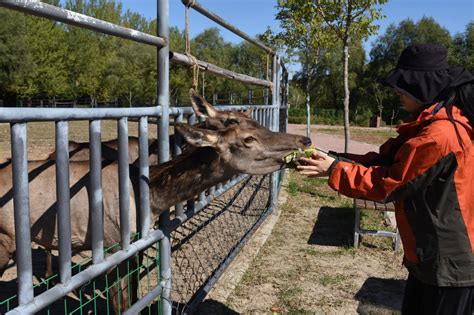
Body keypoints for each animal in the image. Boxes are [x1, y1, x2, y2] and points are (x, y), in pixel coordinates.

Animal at [0, 89, 312, 314]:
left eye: (256, 123)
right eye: (247, 137)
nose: (304, 141)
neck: (151, 199)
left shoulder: (137, 242)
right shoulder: (112, 247)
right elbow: (122, 304)